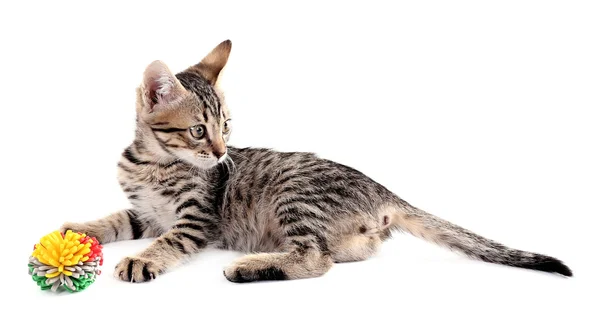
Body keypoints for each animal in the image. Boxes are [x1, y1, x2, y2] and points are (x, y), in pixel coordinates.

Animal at [61, 38, 572, 282]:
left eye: (227, 127)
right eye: (199, 130)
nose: (222, 154)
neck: (150, 162)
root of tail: (383, 191)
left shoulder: (193, 221)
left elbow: (167, 243)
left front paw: (139, 261)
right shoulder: (146, 213)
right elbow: (114, 219)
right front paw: (77, 230)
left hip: (295, 196)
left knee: (316, 258)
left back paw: (248, 268)